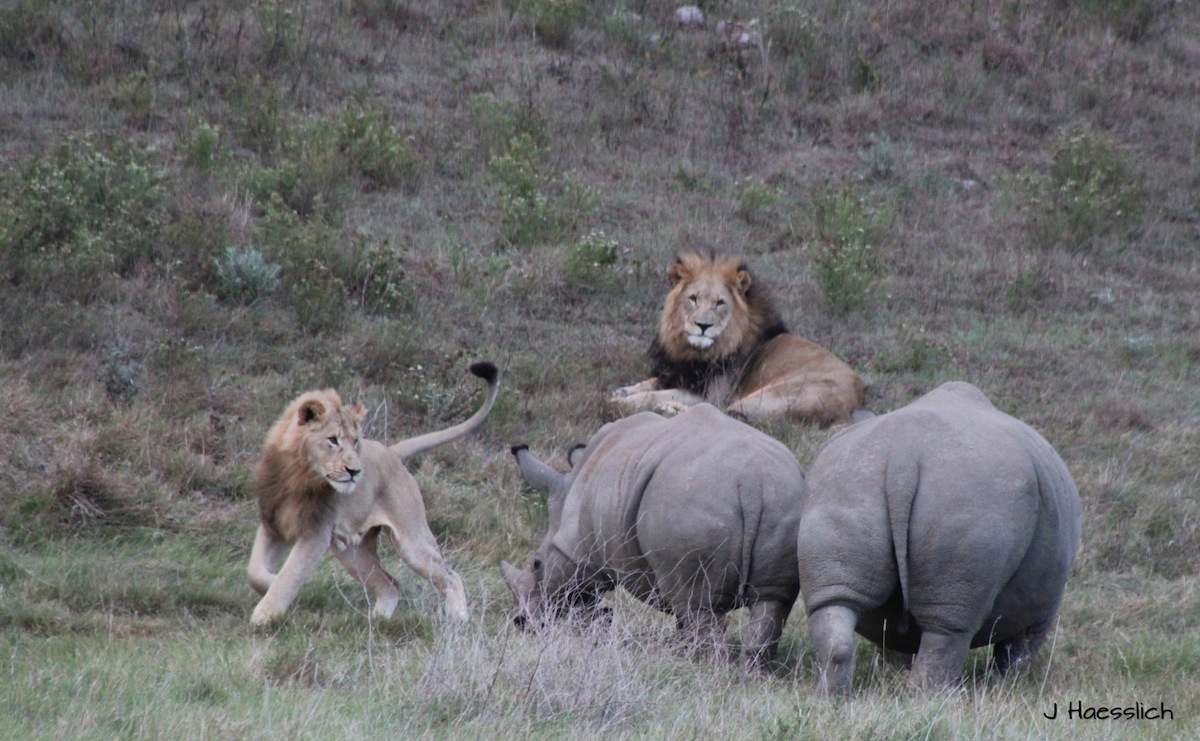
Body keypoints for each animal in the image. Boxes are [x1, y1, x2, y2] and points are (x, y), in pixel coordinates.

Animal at [246, 359, 499, 618]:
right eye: (333, 440)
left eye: (355, 441)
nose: (355, 471)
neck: (298, 476)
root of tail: (392, 451)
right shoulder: (273, 524)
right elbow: (254, 570)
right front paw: (269, 582)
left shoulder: (316, 533)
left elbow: (290, 575)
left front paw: (264, 614)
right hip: (353, 552)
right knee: (390, 584)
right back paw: (379, 621)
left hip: (412, 543)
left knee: (450, 576)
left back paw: (458, 619)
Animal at [499, 402, 806, 661]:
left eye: (536, 564)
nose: (522, 624)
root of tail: (752, 485)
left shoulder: (588, 552)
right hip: (782, 500)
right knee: (771, 602)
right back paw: (746, 674)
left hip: (689, 508)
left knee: (701, 605)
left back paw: (705, 667)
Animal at [609, 250, 864, 424]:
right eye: (693, 299)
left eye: (720, 303)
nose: (703, 326)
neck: (695, 351)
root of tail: (854, 404)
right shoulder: (678, 373)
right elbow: (649, 383)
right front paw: (622, 391)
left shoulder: (710, 392)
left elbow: (652, 396)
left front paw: (621, 402)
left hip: (772, 395)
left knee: (723, 412)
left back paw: (667, 408)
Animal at [801, 381, 1084, 690]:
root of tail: (903, 458)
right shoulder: (1045, 603)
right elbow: (1020, 647)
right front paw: (1011, 685)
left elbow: (895, 638)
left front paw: (896, 670)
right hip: (974, 498)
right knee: (950, 627)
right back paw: (928, 696)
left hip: (848, 483)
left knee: (835, 601)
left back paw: (832, 695)